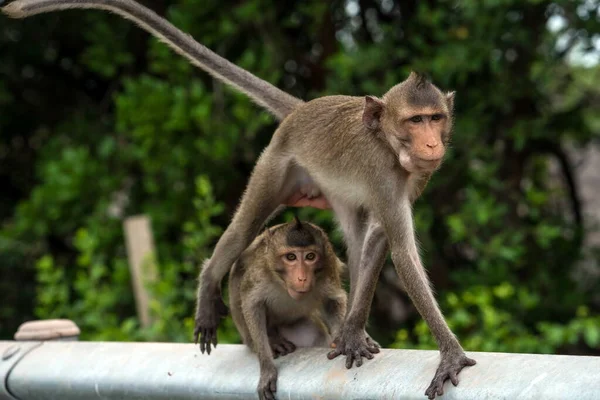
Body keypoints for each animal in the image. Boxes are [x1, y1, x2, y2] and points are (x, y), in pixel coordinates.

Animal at [230, 217, 346, 400]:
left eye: (310, 256)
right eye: (291, 257)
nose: (302, 278)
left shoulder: (328, 267)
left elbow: (332, 301)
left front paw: (346, 341)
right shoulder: (260, 272)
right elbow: (251, 303)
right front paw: (267, 367)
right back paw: (272, 338)